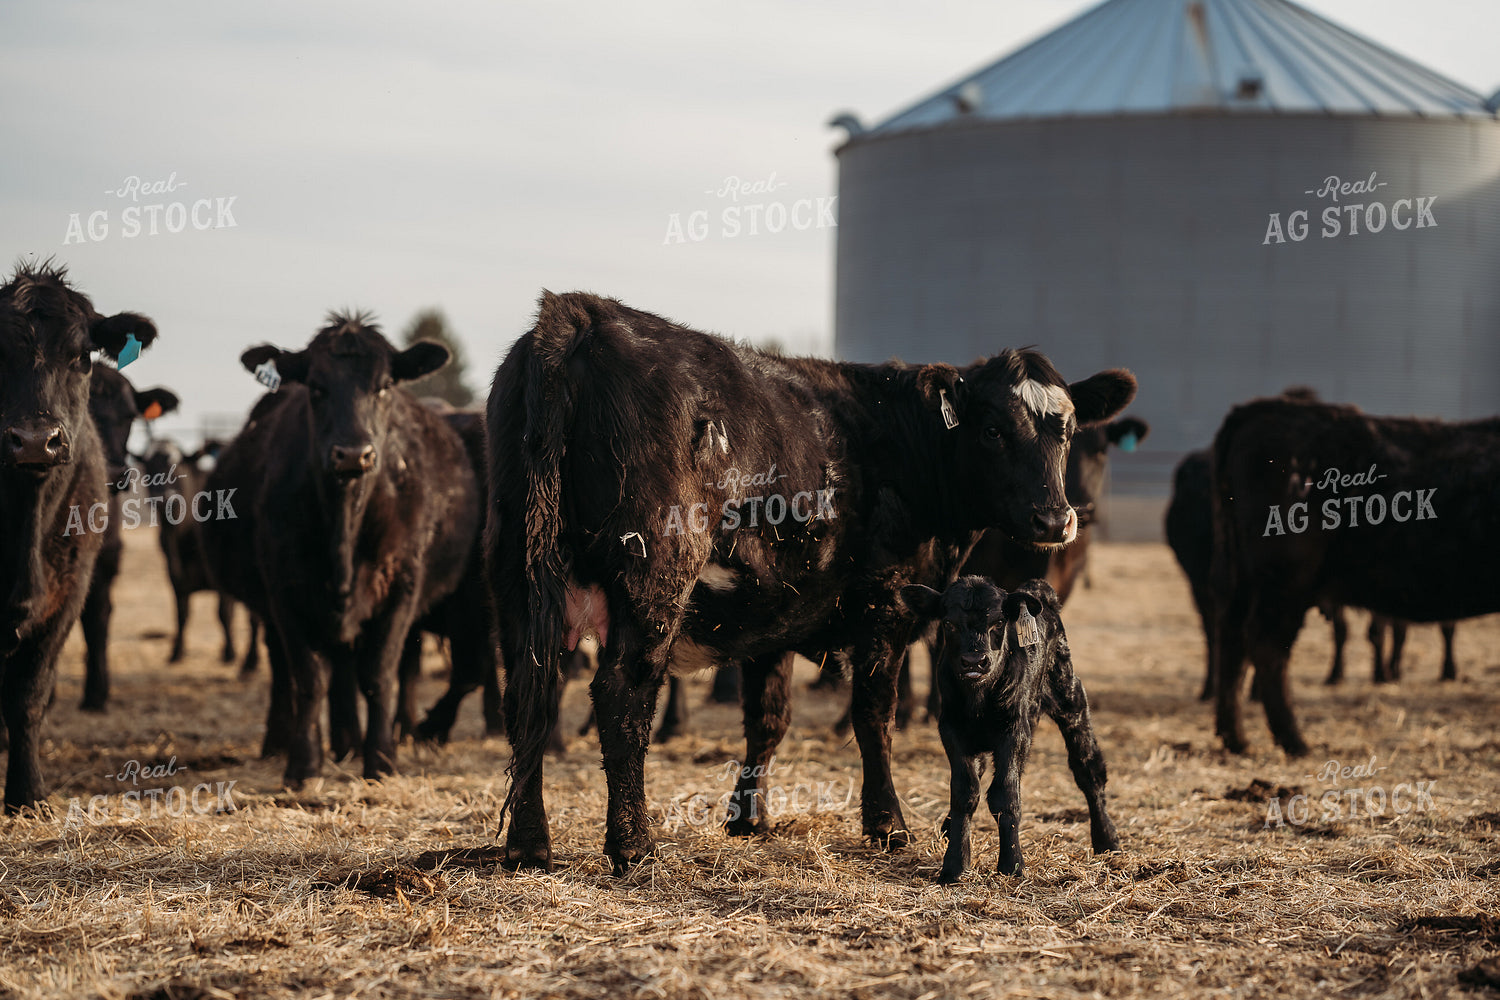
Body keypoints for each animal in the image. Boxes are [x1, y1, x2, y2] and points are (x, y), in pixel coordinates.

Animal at [139, 438, 259, 673]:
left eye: (177, 465)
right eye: (147, 467)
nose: (163, 498)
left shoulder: (220, 577)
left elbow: (223, 614)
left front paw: (230, 653)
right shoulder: (174, 575)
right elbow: (181, 614)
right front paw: (176, 653)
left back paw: (250, 660)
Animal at [201, 313, 478, 784]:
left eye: (384, 386)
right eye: (316, 387)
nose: (353, 454)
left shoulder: (402, 586)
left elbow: (379, 674)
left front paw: (381, 758)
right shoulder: (284, 590)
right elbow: (308, 676)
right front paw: (303, 764)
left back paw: (349, 742)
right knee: (289, 671)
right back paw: (290, 741)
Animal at [899, 577, 1120, 881]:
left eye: (998, 622)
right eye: (949, 623)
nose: (974, 662)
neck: (978, 699)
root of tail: (1037, 588)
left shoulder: (1014, 730)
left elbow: (1005, 794)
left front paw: (1012, 864)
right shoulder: (952, 730)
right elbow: (965, 792)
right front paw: (954, 864)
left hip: (1070, 695)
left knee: (1089, 769)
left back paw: (1107, 840)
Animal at [1209, 395, 1499, 755]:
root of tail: (1261, 408)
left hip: (1242, 578)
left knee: (1232, 639)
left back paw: (1236, 738)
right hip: (1284, 581)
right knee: (1266, 644)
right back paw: (1294, 741)